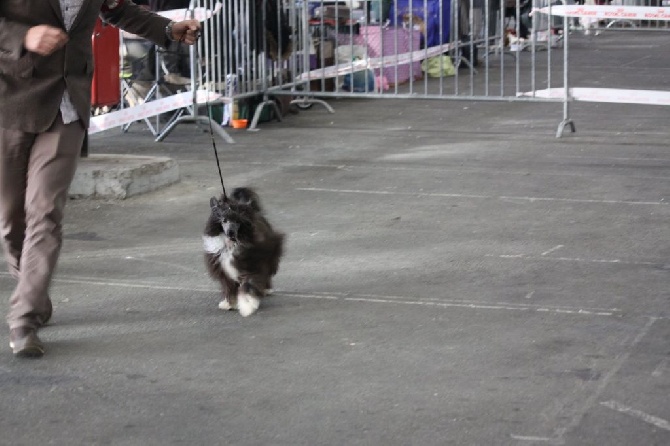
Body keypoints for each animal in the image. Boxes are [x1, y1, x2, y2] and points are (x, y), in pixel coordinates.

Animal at [202, 188, 286, 318]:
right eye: (224, 220)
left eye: (238, 221)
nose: (230, 232)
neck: (232, 244)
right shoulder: (223, 269)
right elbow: (229, 286)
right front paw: (230, 304)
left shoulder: (252, 264)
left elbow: (248, 285)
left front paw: (247, 305)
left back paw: (265, 289)